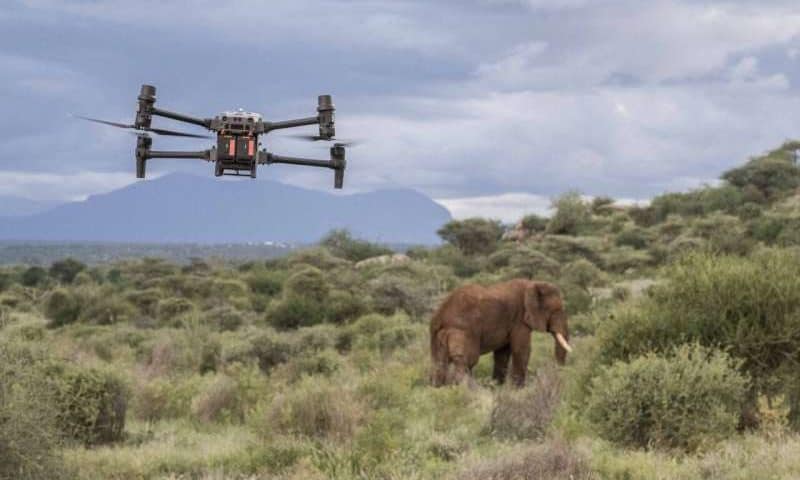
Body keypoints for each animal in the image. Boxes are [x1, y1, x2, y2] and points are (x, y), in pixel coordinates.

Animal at [430, 279, 572, 387]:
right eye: (555, 310)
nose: (559, 371)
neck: (533, 284)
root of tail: (440, 315)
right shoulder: (519, 320)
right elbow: (522, 350)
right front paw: (518, 389)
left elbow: (502, 354)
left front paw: (497, 387)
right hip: (463, 331)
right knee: (466, 360)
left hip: (437, 335)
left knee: (439, 364)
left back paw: (438, 389)